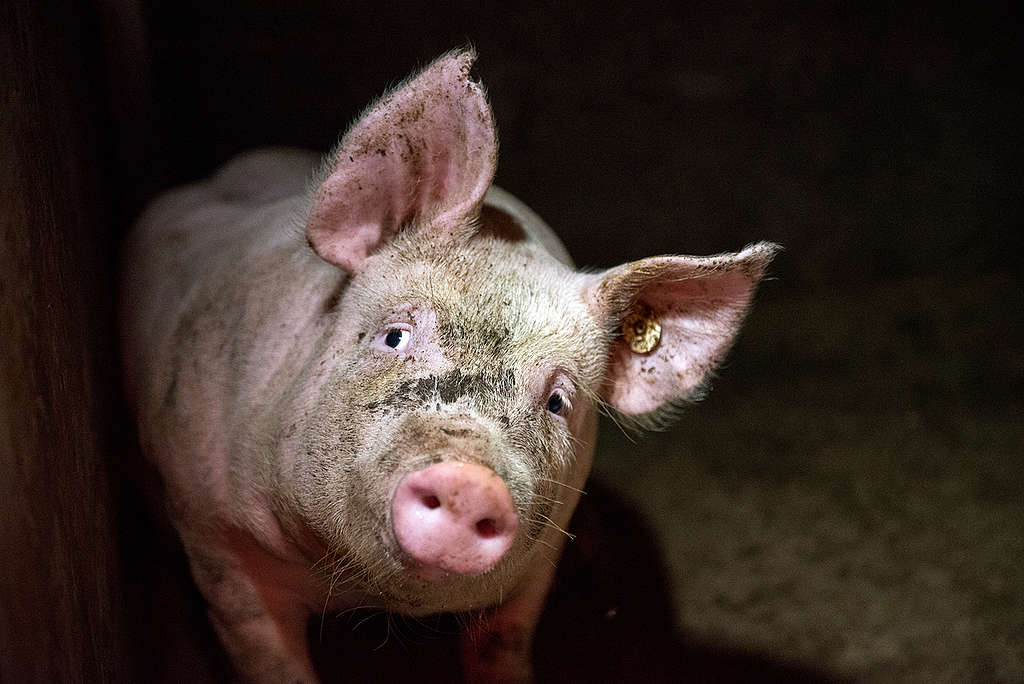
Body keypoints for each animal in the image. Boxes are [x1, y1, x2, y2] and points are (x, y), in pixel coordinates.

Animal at [117, 49, 774, 684]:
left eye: (558, 401)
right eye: (395, 336)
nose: (468, 480)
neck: (364, 594)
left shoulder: (533, 572)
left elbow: (500, 651)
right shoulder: (214, 538)